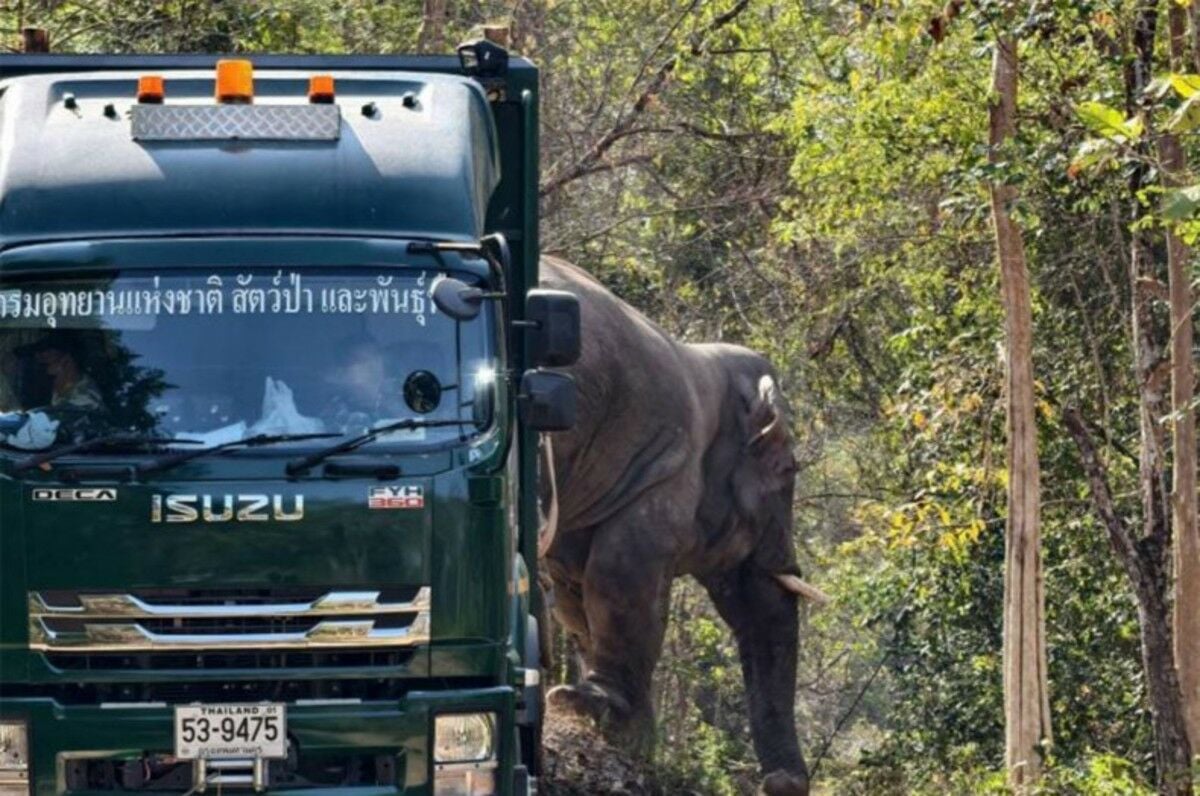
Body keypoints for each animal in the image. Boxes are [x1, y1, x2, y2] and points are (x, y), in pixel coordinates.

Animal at [540, 256, 820, 796]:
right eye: (788, 470)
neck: (701, 361)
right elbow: (622, 574)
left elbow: (575, 593)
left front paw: (630, 734)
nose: (782, 781)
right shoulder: (662, 463)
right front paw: (600, 711)